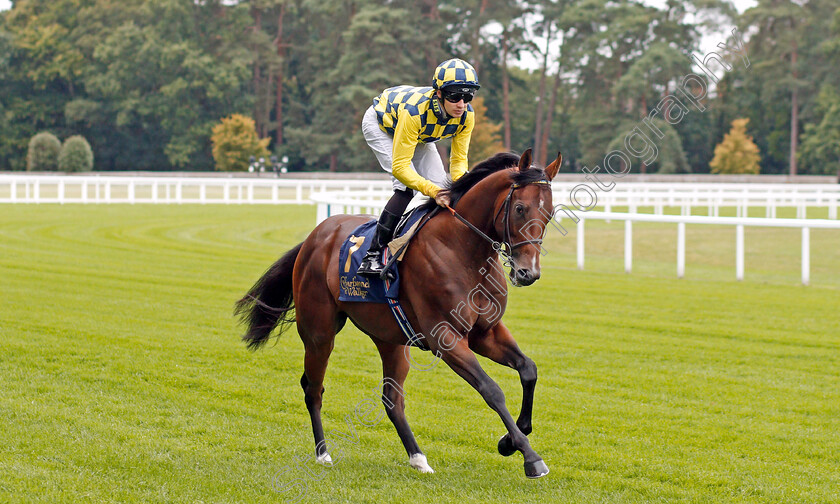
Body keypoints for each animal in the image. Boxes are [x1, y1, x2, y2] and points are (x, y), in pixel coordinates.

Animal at [236, 148, 560, 478]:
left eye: (550, 213)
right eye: (519, 208)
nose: (528, 273)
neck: (462, 250)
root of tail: (315, 237)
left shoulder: (486, 332)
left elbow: (528, 369)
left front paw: (510, 439)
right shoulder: (445, 338)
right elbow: (492, 390)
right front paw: (530, 457)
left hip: (390, 338)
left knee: (392, 400)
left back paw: (418, 458)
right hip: (319, 332)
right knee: (313, 388)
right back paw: (323, 454)